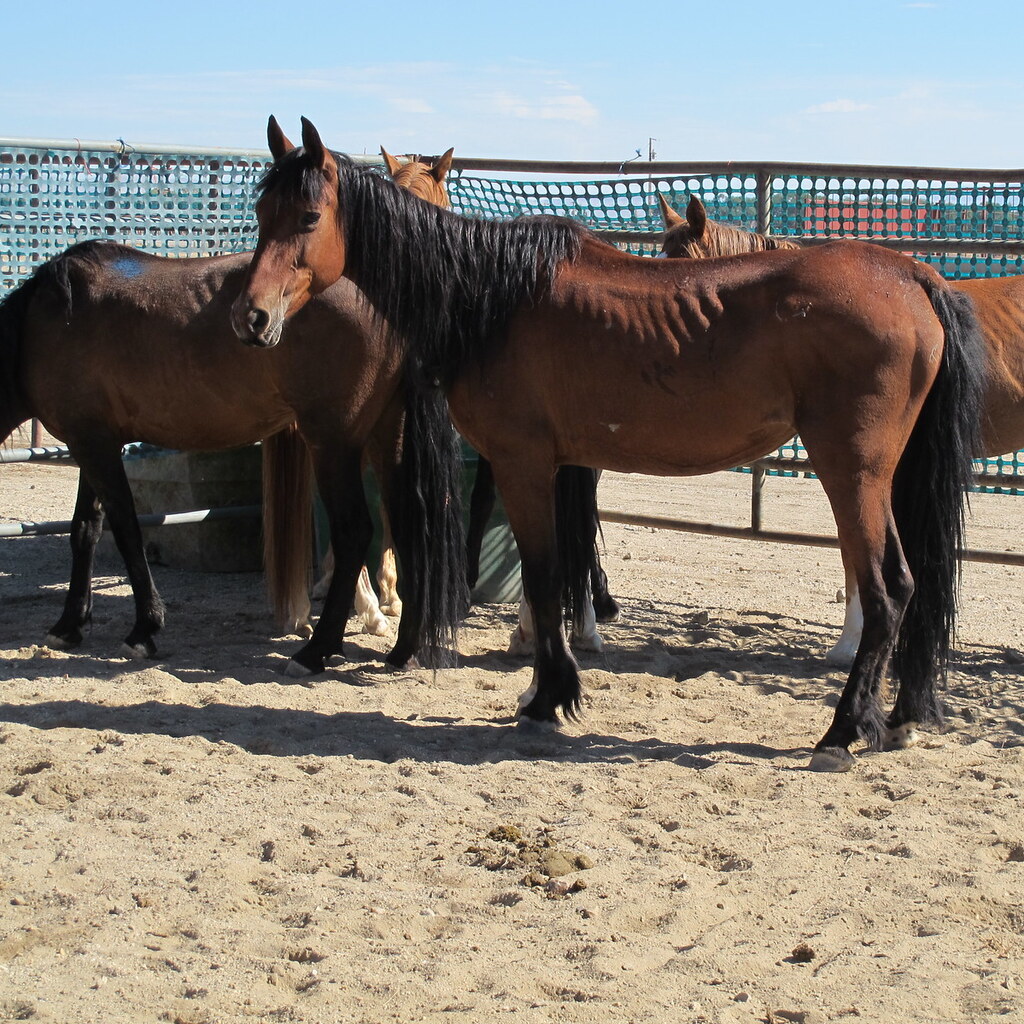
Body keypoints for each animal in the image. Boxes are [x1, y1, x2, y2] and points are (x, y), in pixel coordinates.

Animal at [0, 151, 465, 675]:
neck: (47, 322)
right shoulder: (93, 443)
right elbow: (85, 530)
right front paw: (68, 626)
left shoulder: (94, 447)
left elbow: (125, 530)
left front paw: (144, 628)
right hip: (388, 434)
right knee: (407, 525)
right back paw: (402, 648)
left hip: (335, 441)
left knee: (355, 532)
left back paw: (317, 650)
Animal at [231, 116, 985, 772]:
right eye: (262, 211)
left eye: (307, 218)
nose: (251, 318)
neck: (491, 296)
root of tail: (911, 277)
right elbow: (561, 573)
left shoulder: (525, 463)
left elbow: (543, 576)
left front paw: (548, 698)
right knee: (910, 587)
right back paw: (894, 721)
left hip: (851, 471)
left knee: (887, 592)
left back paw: (841, 732)